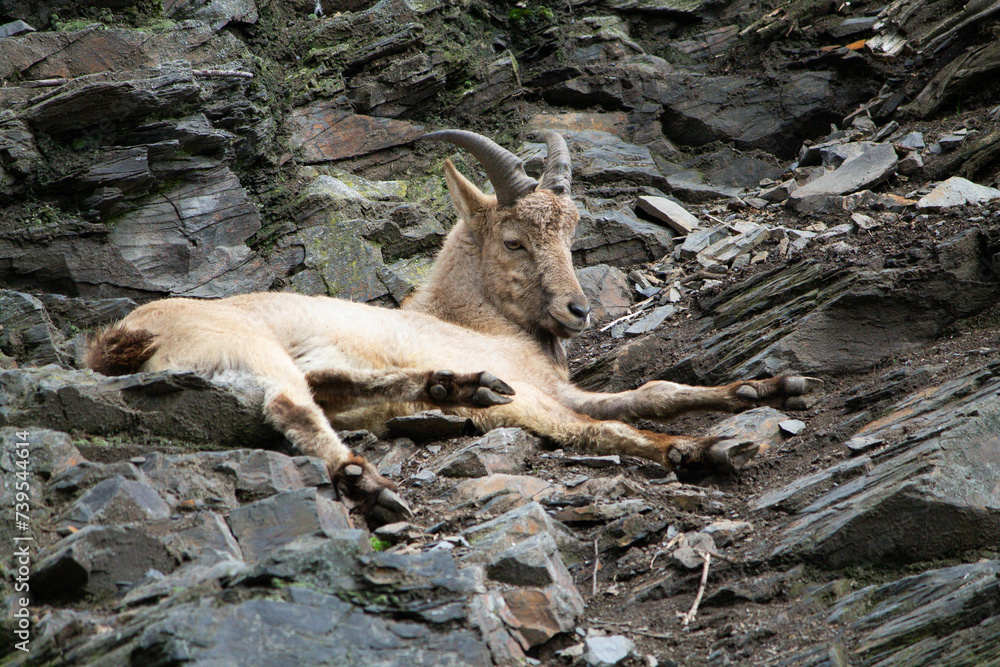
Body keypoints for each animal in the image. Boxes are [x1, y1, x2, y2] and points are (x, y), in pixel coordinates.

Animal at [86, 130, 815, 522]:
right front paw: (696, 448)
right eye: (515, 240)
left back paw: (454, 389)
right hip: (243, 343)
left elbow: (650, 390)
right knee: (295, 403)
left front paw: (766, 388)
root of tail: (116, 340)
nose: (578, 311)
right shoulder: (543, 395)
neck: (487, 327)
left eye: (571, 230)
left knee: (331, 385)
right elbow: (599, 426)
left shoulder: (558, 383)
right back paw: (372, 481)